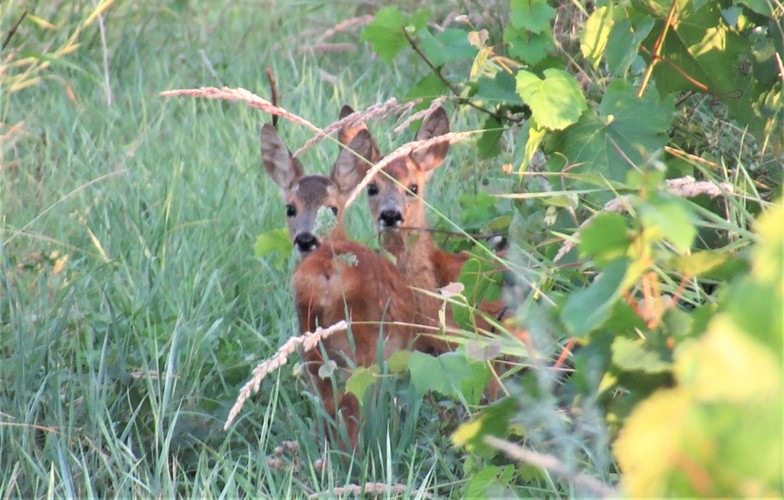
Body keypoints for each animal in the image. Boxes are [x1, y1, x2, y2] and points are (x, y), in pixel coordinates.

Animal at [258, 123, 416, 448]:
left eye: (332, 208)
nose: (306, 239)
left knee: (329, 397)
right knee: (351, 401)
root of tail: (329, 272)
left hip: (311, 332)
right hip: (361, 340)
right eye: (290, 208)